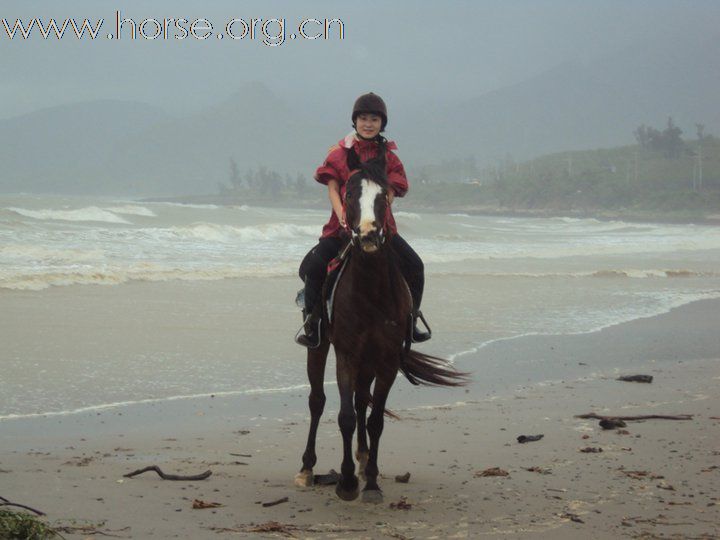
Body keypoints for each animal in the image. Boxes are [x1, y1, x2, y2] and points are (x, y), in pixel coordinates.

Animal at [296, 152, 470, 502]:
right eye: (349, 194)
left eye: (383, 197)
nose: (367, 236)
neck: (371, 290)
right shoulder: (347, 354)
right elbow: (345, 417)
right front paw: (347, 483)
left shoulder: (387, 359)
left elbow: (374, 419)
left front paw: (372, 483)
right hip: (320, 347)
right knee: (318, 401)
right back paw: (307, 469)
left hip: (370, 360)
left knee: (362, 400)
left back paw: (364, 461)